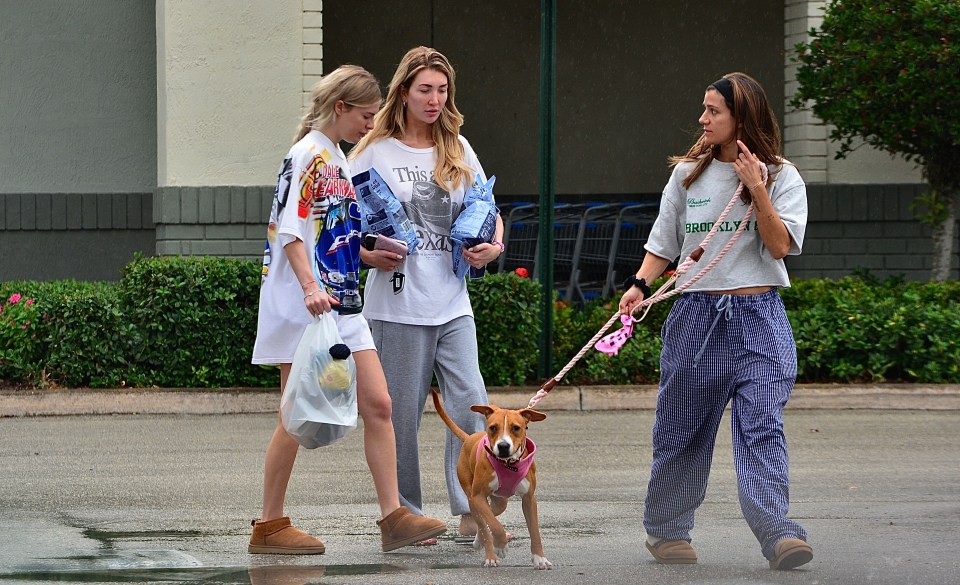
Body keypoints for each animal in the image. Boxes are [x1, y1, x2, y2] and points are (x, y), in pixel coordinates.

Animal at [432, 390, 552, 568]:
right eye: (493, 428)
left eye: (516, 428)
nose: (503, 446)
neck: (508, 464)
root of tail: (469, 438)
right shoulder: (478, 497)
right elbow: (495, 526)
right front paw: (500, 545)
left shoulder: (529, 499)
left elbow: (535, 531)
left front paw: (540, 558)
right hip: (472, 499)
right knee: (482, 523)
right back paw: (490, 554)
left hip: (499, 502)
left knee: (488, 517)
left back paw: (479, 541)